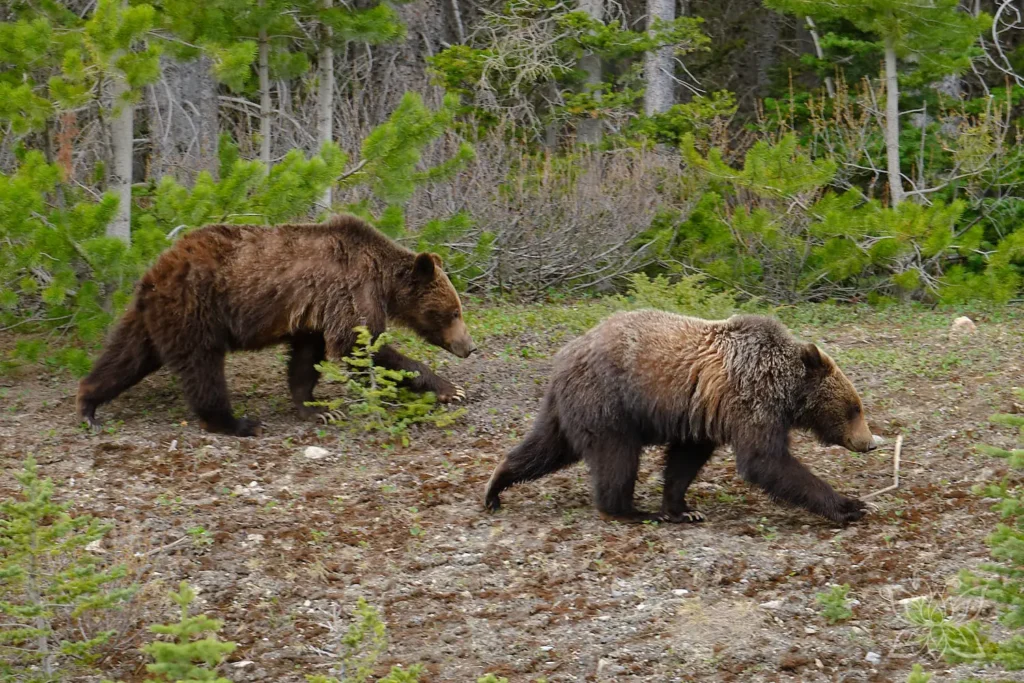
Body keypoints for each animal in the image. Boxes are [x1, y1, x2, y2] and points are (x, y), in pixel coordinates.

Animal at [77, 214, 476, 437]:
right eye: (454, 312)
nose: (469, 346)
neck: (383, 281)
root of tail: (157, 269)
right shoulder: (351, 292)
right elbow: (358, 347)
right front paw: (448, 388)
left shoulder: (313, 316)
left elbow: (305, 361)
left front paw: (317, 408)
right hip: (197, 310)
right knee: (202, 369)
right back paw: (237, 423)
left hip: (153, 316)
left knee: (126, 357)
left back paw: (88, 403)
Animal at [484, 309, 876, 525]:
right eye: (855, 408)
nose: (869, 442)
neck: (784, 388)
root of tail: (565, 354)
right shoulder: (752, 401)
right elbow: (766, 461)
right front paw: (850, 505)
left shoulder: (702, 413)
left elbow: (685, 460)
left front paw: (683, 508)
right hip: (610, 402)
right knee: (616, 458)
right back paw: (629, 511)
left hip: (572, 406)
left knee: (547, 446)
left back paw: (495, 487)